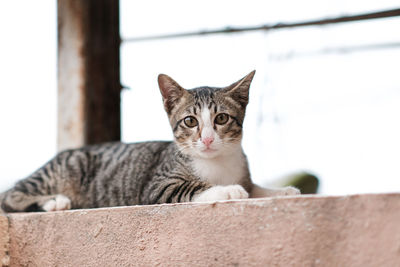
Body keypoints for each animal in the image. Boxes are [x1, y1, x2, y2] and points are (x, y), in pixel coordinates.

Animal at [0, 71, 298, 214]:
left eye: (222, 118)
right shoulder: (159, 185)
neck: (217, 162)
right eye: (190, 121)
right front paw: (229, 190)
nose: (207, 138)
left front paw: (282, 191)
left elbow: (253, 186)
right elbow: (194, 187)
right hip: (62, 170)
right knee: (12, 194)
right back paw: (54, 201)